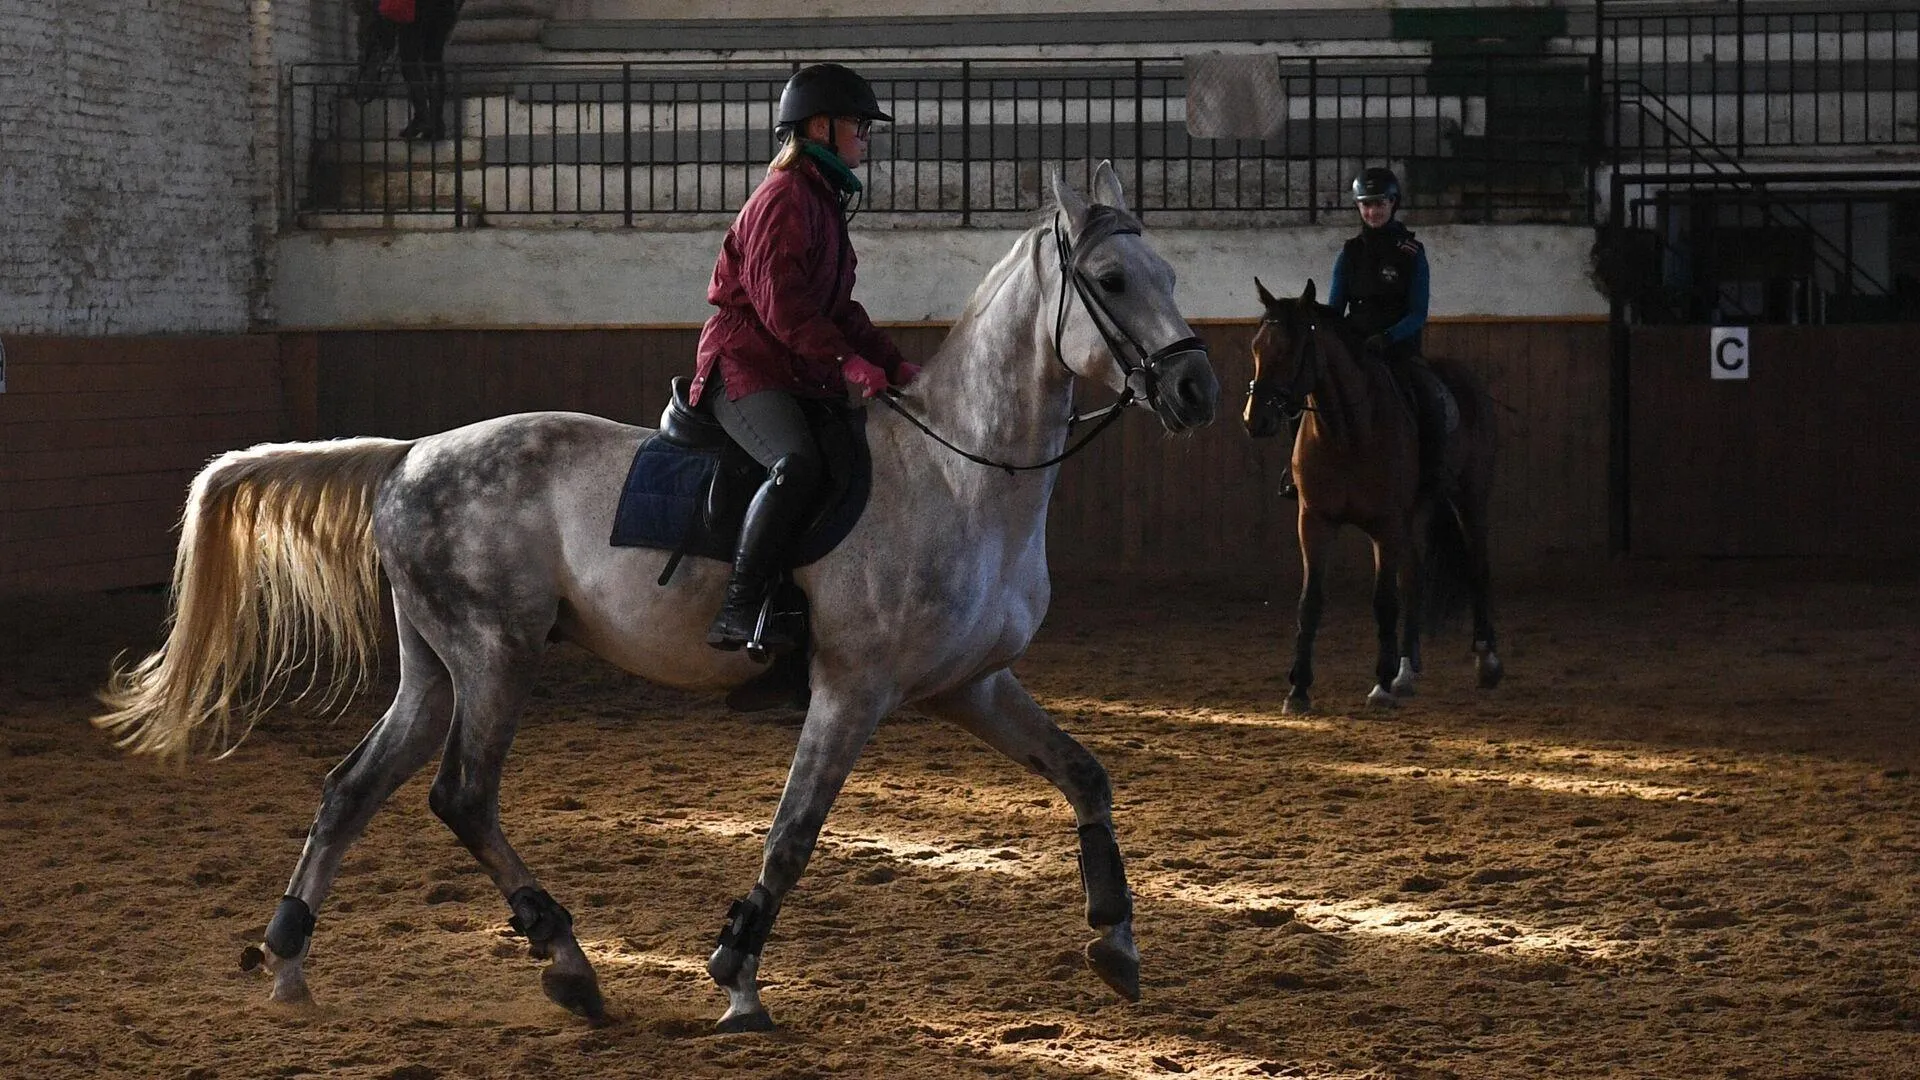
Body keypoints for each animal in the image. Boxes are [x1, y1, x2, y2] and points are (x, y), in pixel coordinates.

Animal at [93, 166, 1213, 1022]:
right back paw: (567, 962)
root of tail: (408, 456)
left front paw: (1117, 942)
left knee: (353, 789)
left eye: (1170, 270)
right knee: (462, 795)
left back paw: (290, 960)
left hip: (436, 666)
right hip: (495, 655)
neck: (961, 473)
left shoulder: (969, 686)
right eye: (1112, 278)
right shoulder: (852, 692)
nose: (1198, 390)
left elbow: (1086, 775)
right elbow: (794, 836)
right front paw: (737, 979)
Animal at [1244, 276, 1497, 711]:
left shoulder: (1385, 524)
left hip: (1470, 499)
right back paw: (1406, 672)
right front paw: (1298, 689)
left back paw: (1486, 662)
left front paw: (1379, 685)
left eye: (1291, 349)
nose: (1254, 419)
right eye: (1257, 347)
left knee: (1477, 567)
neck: (1345, 432)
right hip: (1415, 514)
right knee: (1414, 577)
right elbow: (1310, 602)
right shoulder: (1314, 521)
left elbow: (1384, 601)